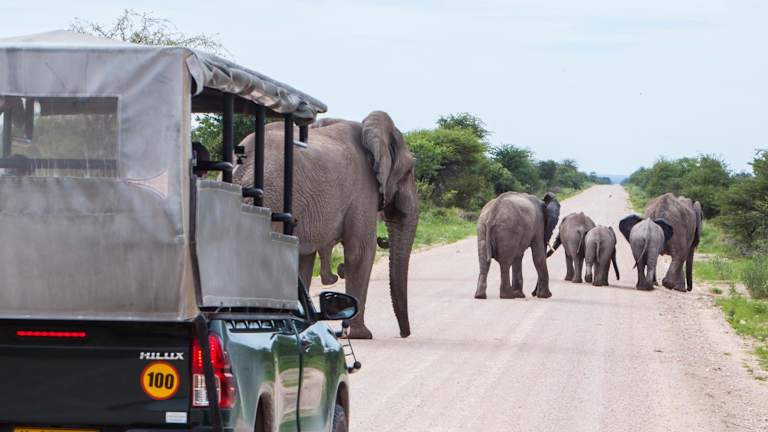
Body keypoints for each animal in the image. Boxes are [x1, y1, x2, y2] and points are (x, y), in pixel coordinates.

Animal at [233, 111, 419, 339]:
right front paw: (362, 335)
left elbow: (304, 261)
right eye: (409, 170)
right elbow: (361, 252)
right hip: (269, 200)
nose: (404, 334)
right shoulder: (363, 189)